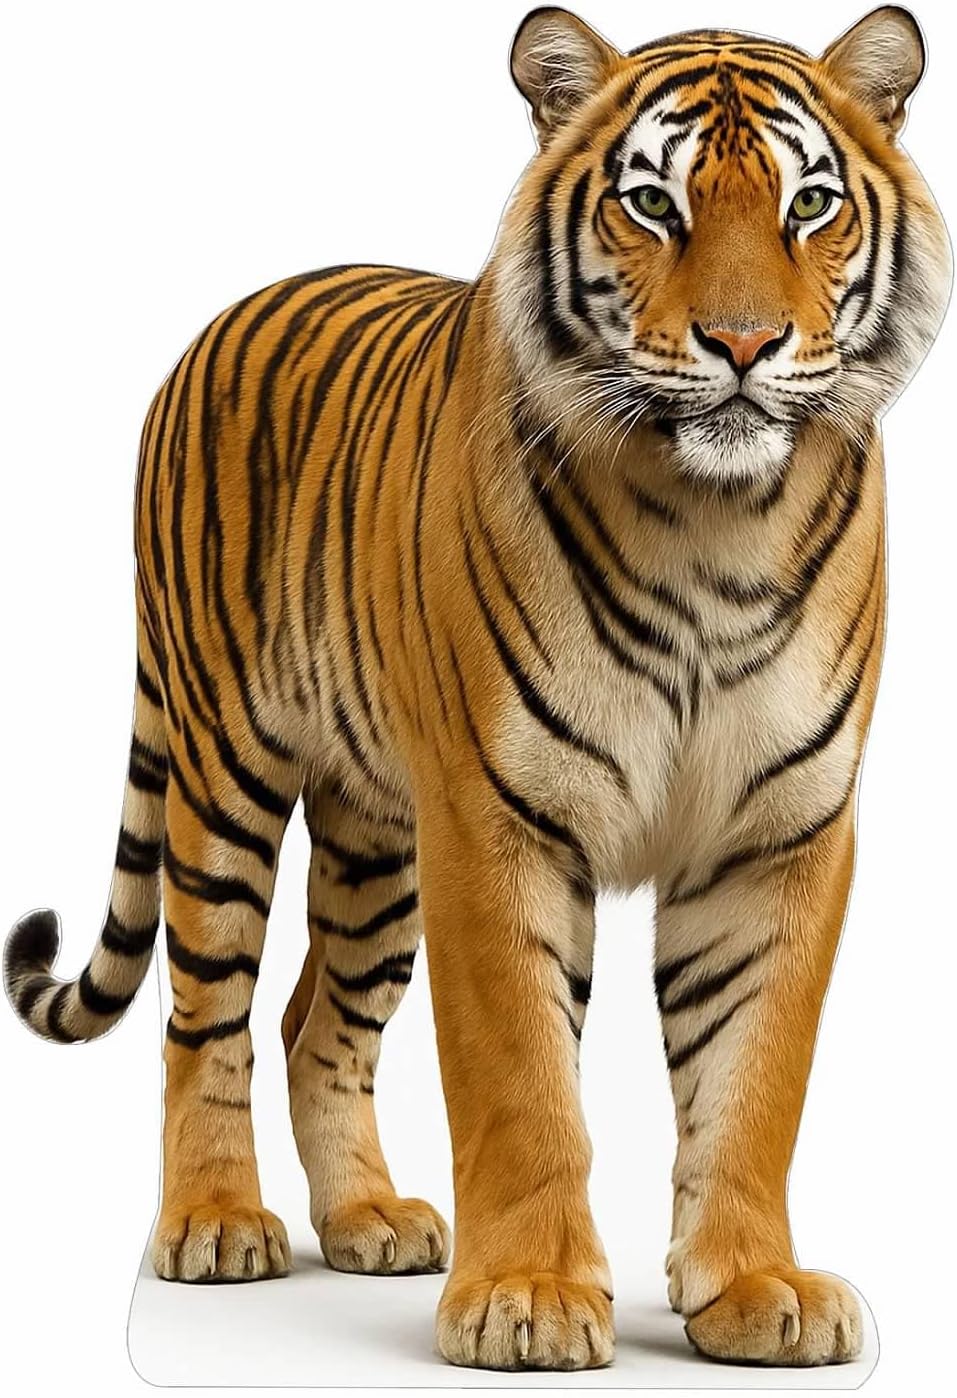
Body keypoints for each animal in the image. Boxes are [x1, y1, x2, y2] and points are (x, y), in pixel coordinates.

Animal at [2, 2, 950, 1374]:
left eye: (810, 204)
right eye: (653, 204)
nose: (743, 345)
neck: (717, 526)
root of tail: (226, 313)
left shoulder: (783, 830)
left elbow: (754, 1076)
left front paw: (752, 1289)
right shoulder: (497, 819)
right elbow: (519, 1076)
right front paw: (529, 1299)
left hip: (375, 835)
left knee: (318, 1024)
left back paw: (366, 1220)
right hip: (226, 774)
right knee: (207, 1015)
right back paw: (216, 1223)